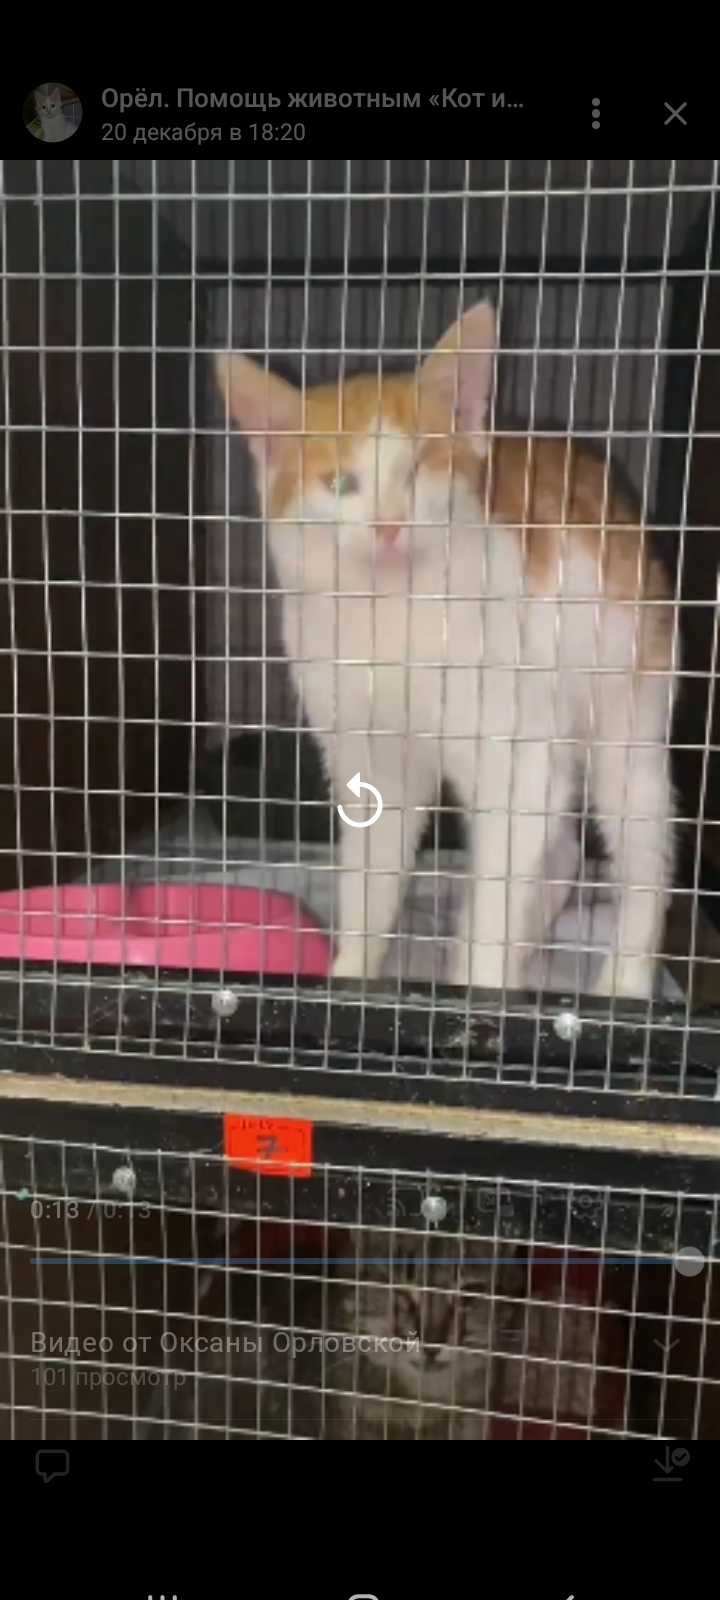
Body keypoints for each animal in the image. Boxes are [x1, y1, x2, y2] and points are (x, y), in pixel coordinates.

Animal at [215, 301, 676, 999]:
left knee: (642, 851)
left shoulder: (514, 752)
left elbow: (500, 889)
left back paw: (620, 980)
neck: (393, 617)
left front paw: (479, 991)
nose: (388, 526)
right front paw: (351, 981)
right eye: (341, 482)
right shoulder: (368, 758)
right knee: (560, 850)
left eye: (419, 468)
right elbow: (374, 875)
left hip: (628, 712)